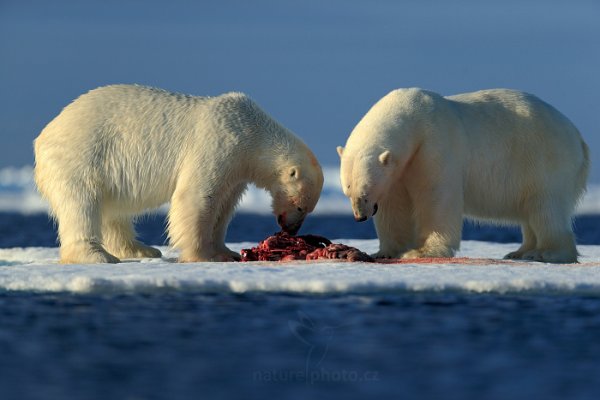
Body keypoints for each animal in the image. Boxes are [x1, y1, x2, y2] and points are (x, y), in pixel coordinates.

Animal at [34, 84, 324, 264]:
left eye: (308, 209)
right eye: (301, 206)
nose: (290, 229)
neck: (252, 131)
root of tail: (44, 135)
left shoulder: (236, 169)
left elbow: (224, 205)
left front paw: (226, 251)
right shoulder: (220, 142)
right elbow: (197, 197)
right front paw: (202, 255)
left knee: (113, 211)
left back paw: (141, 249)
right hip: (82, 156)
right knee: (82, 204)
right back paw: (97, 255)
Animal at [338, 88, 592, 264]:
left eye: (366, 192)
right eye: (347, 191)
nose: (360, 216)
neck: (413, 116)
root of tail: (578, 137)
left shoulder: (434, 143)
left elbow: (436, 197)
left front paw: (421, 251)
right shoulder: (399, 170)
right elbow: (394, 207)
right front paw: (387, 251)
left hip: (543, 159)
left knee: (545, 207)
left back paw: (546, 253)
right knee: (531, 211)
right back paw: (520, 252)